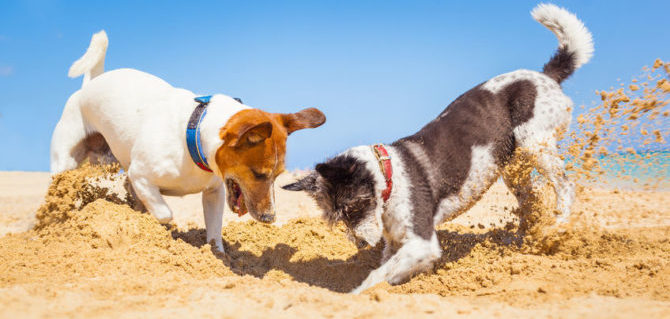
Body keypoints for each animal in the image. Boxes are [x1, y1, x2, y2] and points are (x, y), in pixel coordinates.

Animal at [51, 30, 326, 252]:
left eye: (278, 176)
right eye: (259, 174)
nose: (270, 218)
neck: (193, 136)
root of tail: (90, 84)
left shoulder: (214, 192)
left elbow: (214, 231)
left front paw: (218, 255)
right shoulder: (140, 175)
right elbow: (164, 213)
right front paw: (161, 231)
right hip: (65, 162)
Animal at [282, 4, 592, 296]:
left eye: (352, 207)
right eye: (335, 218)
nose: (358, 242)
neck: (389, 176)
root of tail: (546, 76)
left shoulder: (422, 242)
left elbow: (376, 275)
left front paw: (355, 295)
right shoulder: (397, 243)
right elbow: (388, 268)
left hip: (535, 143)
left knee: (566, 186)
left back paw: (557, 226)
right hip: (513, 166)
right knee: (531, 201)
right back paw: (523, 241)